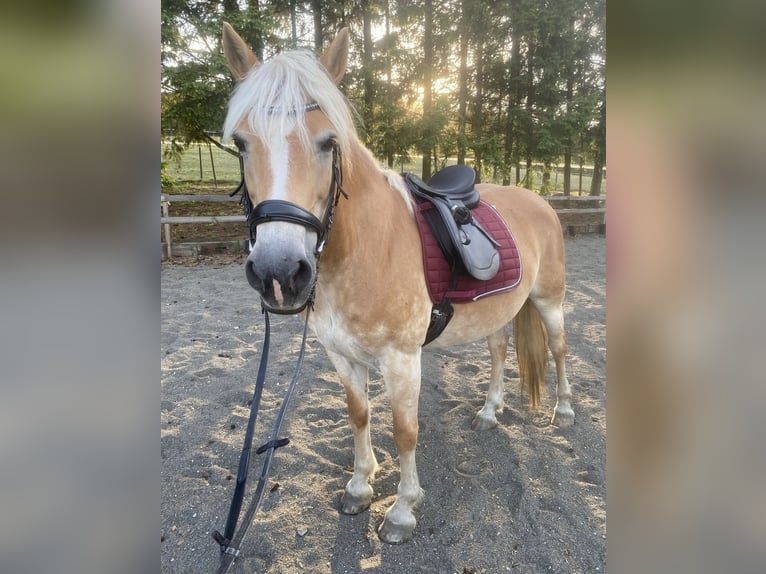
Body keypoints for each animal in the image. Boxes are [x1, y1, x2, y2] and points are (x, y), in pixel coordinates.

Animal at [219, 22, 572, 544]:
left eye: (328, 142)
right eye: (242, 144)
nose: (278, 272)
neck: (366, 249)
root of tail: (538, 199)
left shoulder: (402, 360)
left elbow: (405, 431)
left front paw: (402, 510)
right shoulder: (341, 355)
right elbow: (359, 415)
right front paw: (360, 486)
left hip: (549, 301)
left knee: (559, 348)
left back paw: (564, 410)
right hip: (498, 311)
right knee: (498, 351)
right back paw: (490, 411)